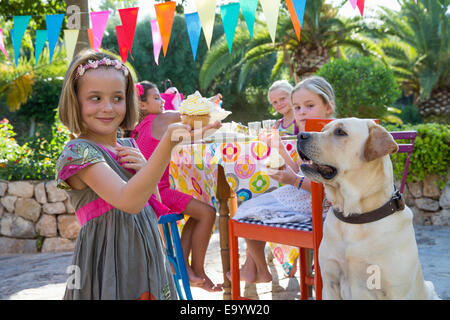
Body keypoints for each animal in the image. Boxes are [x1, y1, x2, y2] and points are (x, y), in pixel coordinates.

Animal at [298, 117, 438, 300]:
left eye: (340, 132)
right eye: (323, 129)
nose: (300, 135)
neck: (355, 215)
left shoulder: (396, 291)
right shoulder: (329, 284)